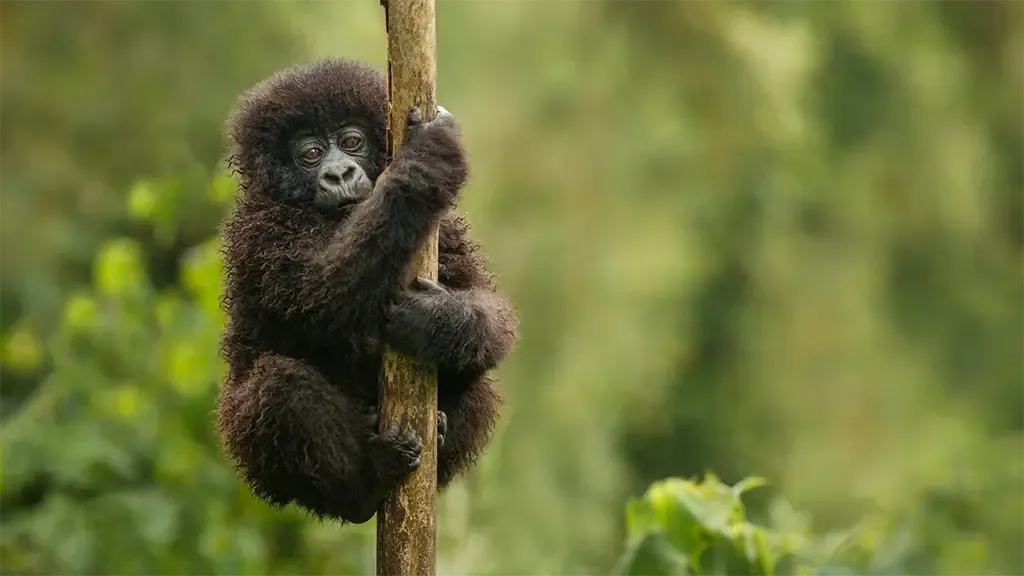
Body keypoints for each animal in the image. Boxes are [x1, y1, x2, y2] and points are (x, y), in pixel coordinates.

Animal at [214, 58, 518, 524]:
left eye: (352, 141)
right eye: (311, 153)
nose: (339, 173)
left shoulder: (445, 230)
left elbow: (490, 310)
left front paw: (434, 322)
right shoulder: (259, 233)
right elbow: (321, 294)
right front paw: (426, 160)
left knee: (480, 376)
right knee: (278, 387)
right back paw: (364, 486)